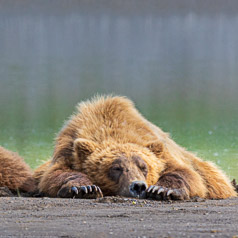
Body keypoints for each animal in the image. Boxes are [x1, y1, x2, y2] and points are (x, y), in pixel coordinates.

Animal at [34, 96, 236, 200]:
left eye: (143, 166)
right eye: (116, 168)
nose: (138, 186)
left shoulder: (160, 149)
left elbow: (184, 173)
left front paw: (162, 190)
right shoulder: (67, 148)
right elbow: (57, 173)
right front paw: (85, 188)